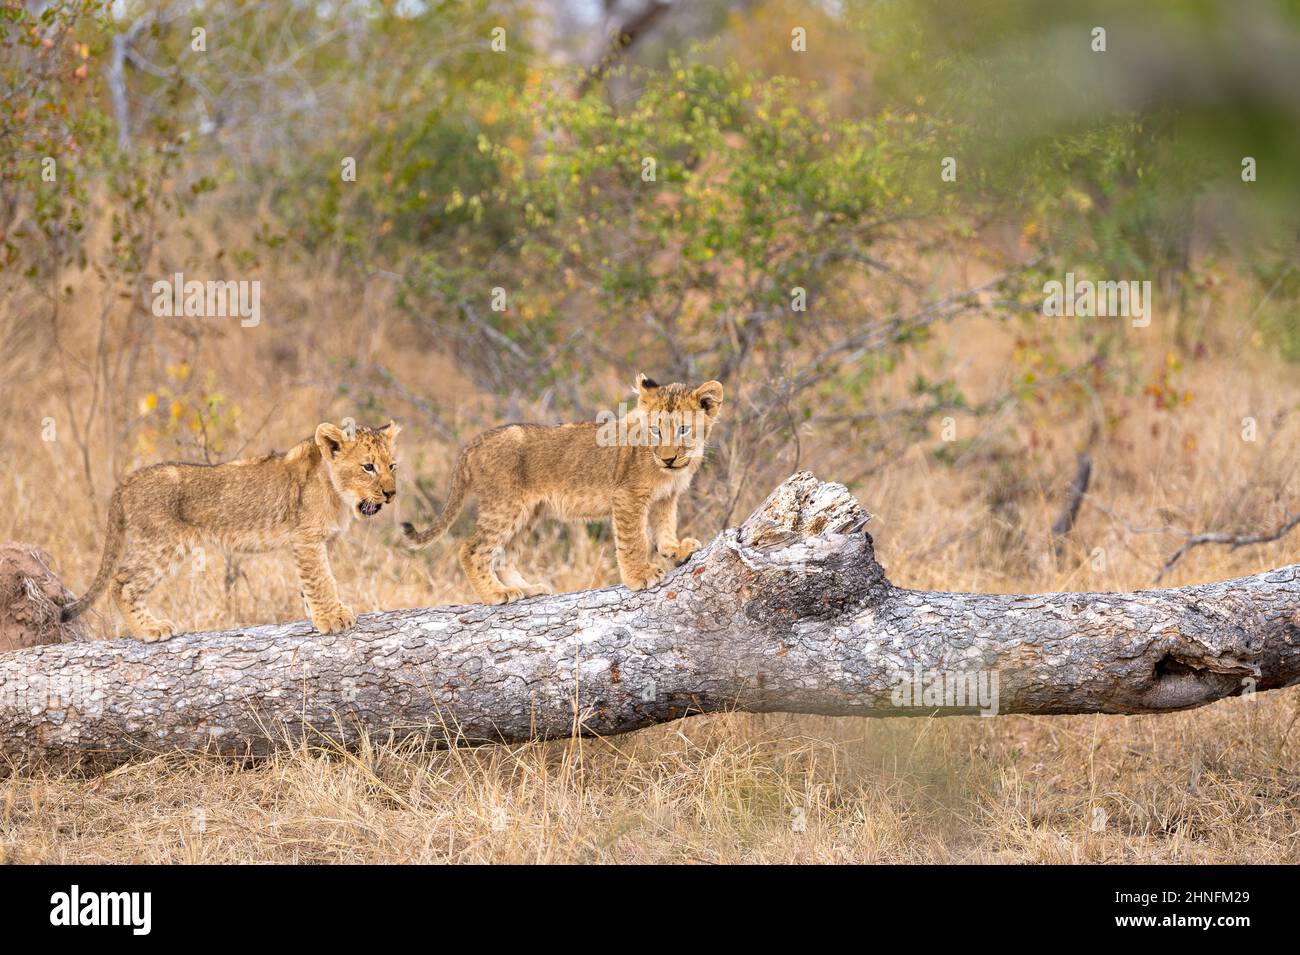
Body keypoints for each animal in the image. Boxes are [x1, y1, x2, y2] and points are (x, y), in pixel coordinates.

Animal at [60, 421, 400, 641]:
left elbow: (317, 580)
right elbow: (320, 579)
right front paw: (332, 618)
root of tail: (128, 480)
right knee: (121, 582)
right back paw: (149, 630)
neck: (338, 494)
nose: (391, 494)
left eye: (392, 466)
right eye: (368, 467)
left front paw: (319, 612)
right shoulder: (307, 537)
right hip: (161, 544)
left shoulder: (322, 540)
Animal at [401, 375, 723, 603]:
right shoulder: (627, 496)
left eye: (683, 430)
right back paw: (495, 595)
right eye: (656, 431)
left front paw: (676, 550)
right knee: (472, 549)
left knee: (504, 555)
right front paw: (639, 575)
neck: (670, 471)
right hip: (504, 505)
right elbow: (634, 540)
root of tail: (476, 442)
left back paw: (528, 589)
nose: (668, 458)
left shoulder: (665, 498)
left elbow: (664, 528)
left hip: (529, 512)